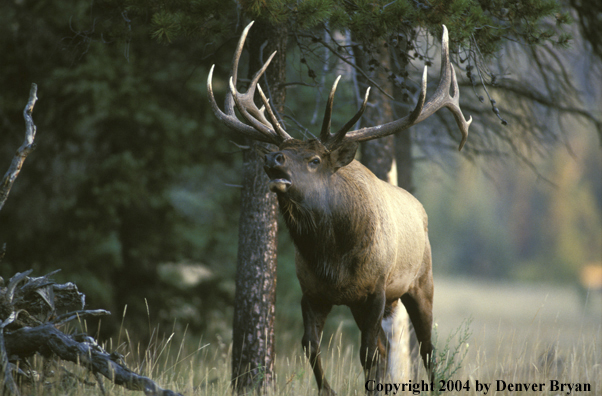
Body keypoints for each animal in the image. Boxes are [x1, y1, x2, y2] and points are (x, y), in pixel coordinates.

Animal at [209, 22, 472, 396]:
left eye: (314, 159)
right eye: (283, 151)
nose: (273, 158)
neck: (332, 258)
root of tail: (420, 210)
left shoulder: (376, 290)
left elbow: (368, 353)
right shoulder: (312, 292)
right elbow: (311, 346)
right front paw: (328, 389)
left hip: (422, 281)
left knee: (426, 347)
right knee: (387, 347)